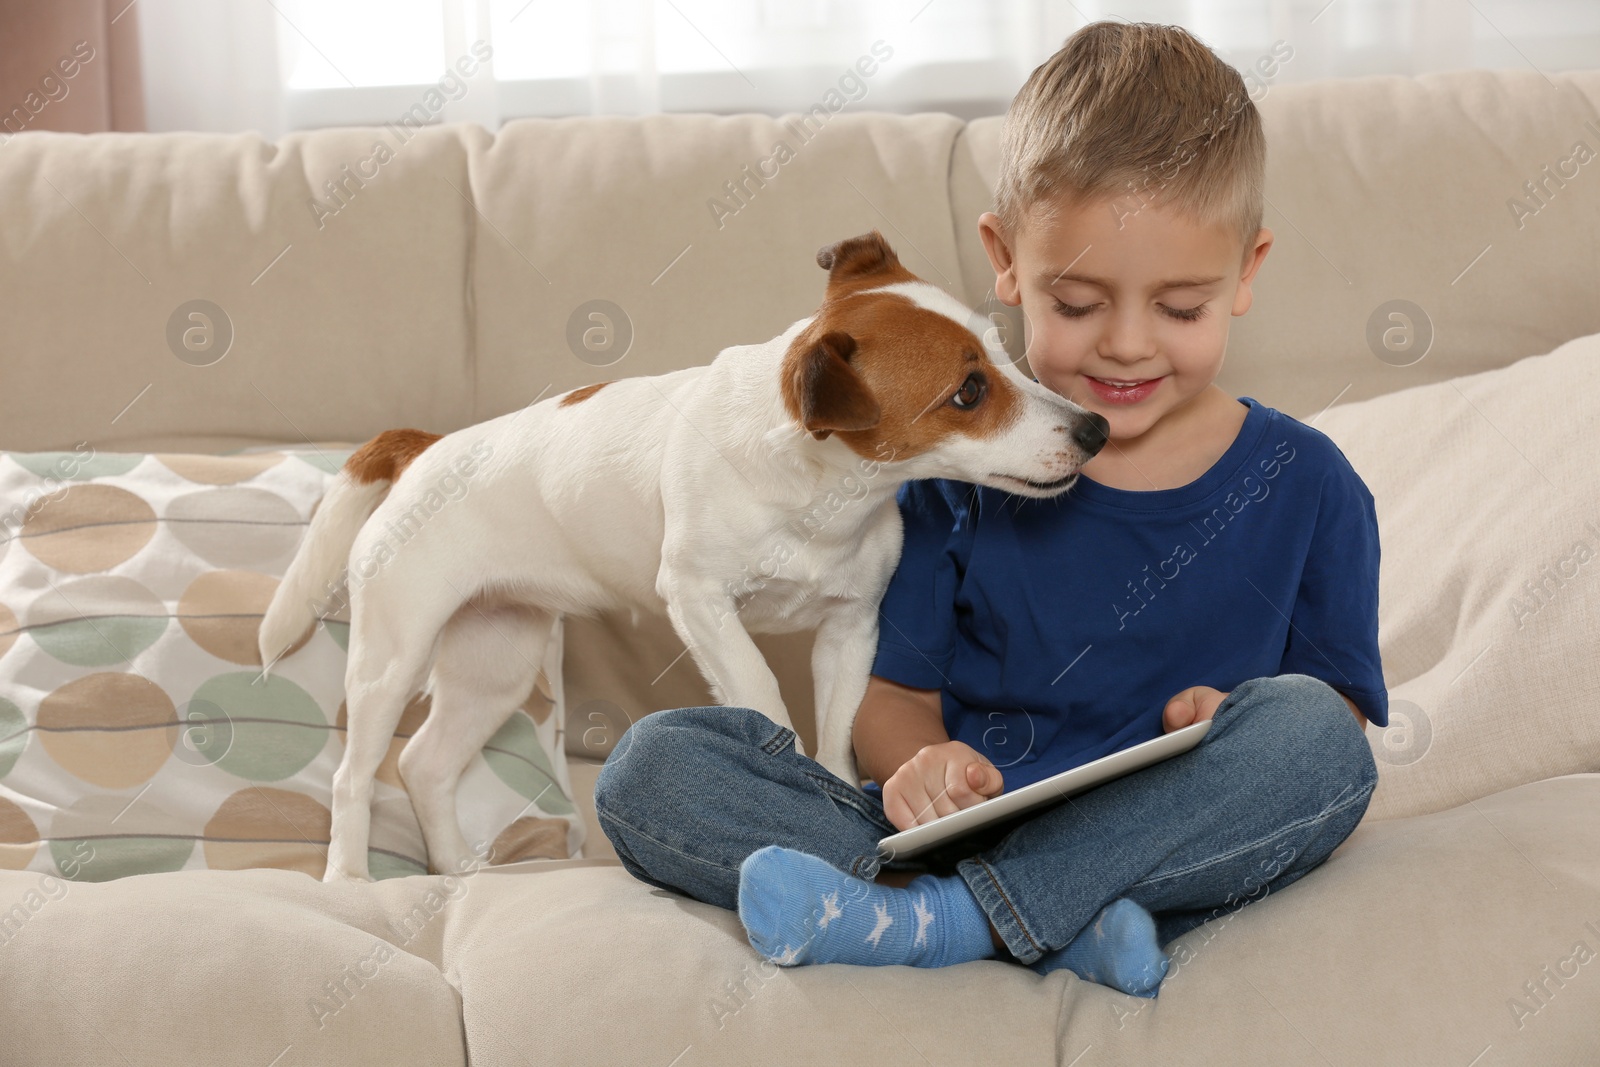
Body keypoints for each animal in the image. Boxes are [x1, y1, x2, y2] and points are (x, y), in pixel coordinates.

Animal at [259, 233, 1113, 883]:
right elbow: (764, 697)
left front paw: (830, 788)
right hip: (391, 657)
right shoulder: (700, 601)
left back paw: (456, 869)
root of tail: (428, 449)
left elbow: (837, 731)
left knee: (427, 765)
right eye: (967, 392)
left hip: (493, 662)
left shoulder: (852, 627)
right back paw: (349, 878)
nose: (1096, 428)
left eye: (1005, 350)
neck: (822, 488)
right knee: (354, 775)